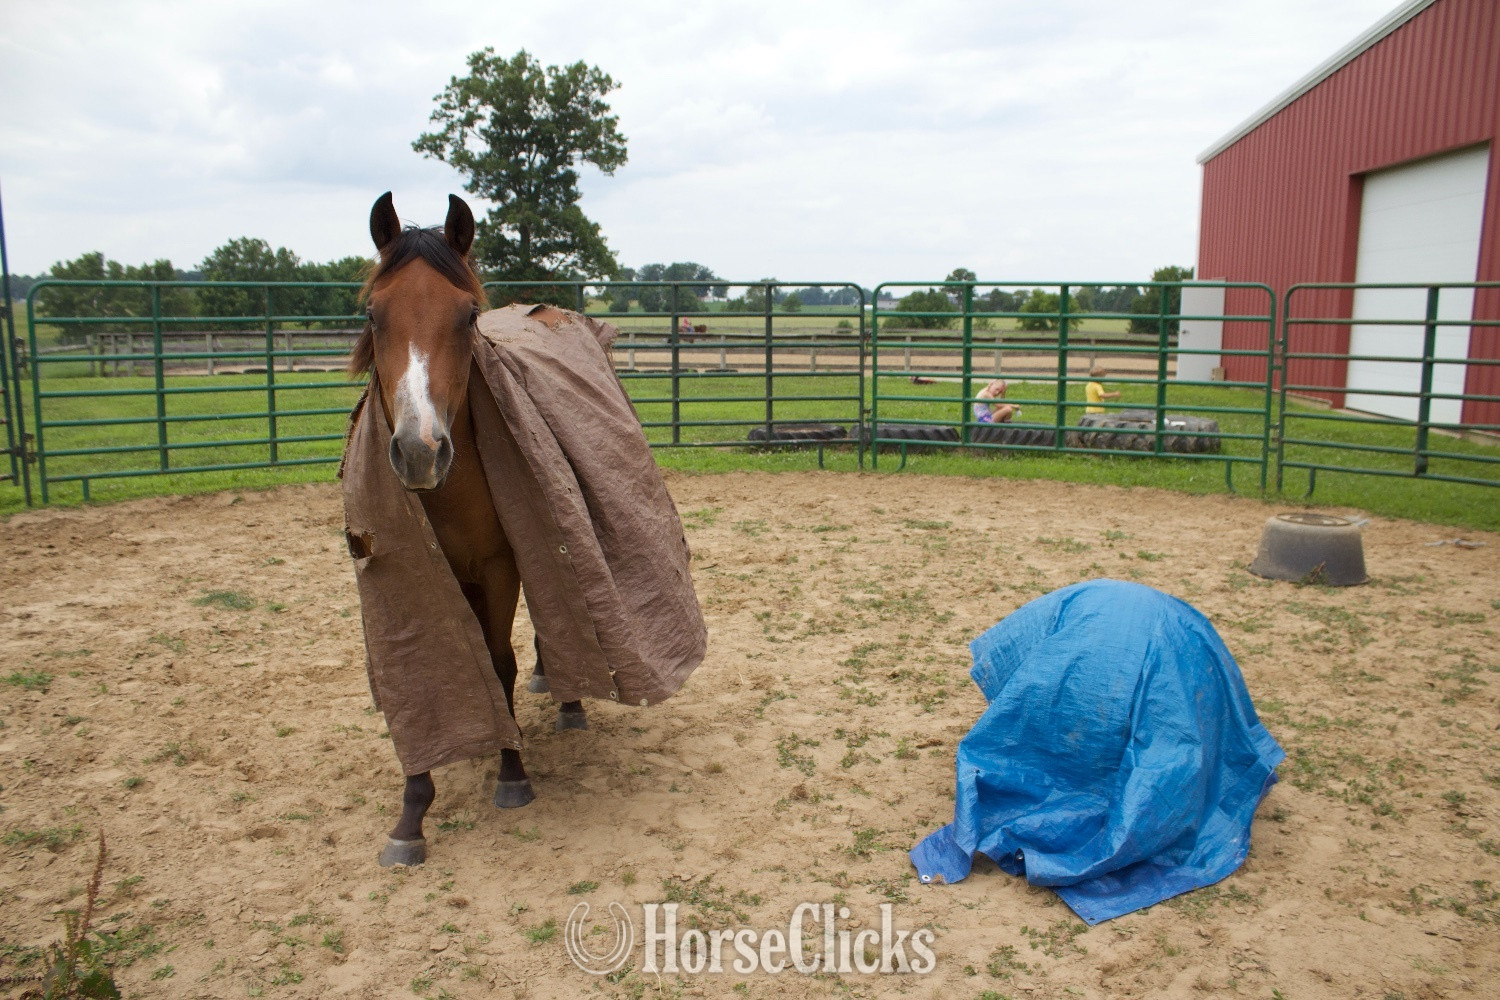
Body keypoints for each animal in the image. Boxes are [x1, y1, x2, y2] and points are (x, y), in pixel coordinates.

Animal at [350, 192, 584, 867]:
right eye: (373, 313)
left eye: (467, 315)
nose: (420, 450)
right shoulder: (416, 571)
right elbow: (424, 673)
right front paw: (411, 814)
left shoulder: (500, 564)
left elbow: (499, 660)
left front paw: (511, 771)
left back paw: (566, 697)